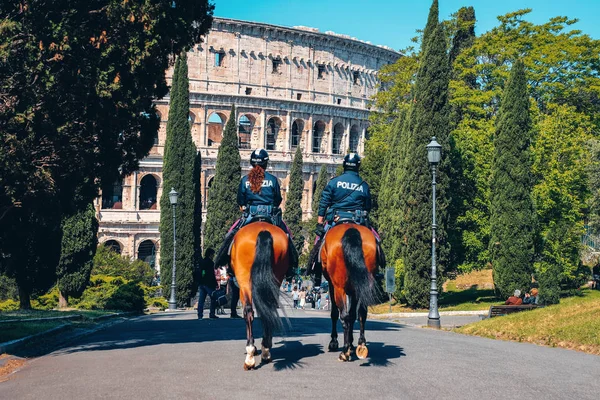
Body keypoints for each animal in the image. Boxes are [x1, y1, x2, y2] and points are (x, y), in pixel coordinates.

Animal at [229, 222, 290, 368]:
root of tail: (263, 230)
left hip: (244, 280)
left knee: (248, 311)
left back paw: (252, 354)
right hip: (276, 277)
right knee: (267, 310)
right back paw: (265, 350)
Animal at [322, 223, 378, 360]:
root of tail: (351, 229)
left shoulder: (332, 285)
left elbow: (335, 313)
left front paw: (335, 342)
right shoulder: (353, 289)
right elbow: (353, 315)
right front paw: (352, 344)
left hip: (339, 287)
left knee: (343, 315)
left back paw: (344, 351)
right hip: (363, 283)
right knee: (362, 313)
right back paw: (361, 345)